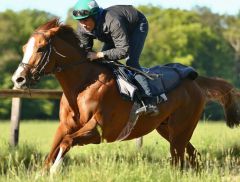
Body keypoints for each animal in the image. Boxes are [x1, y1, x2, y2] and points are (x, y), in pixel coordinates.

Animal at [11, 19, 240, 173]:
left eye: (41, 48)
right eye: (24, 47)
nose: (18, 79)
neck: (83, 86)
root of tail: (194, 80)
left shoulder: (99, 131)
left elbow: (66, 143)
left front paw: (56, 170)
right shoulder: (65, 126)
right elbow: (52, 150)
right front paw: (46, 171)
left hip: (180, 130)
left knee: (179, 160)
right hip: (167, 129)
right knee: (193, 156)